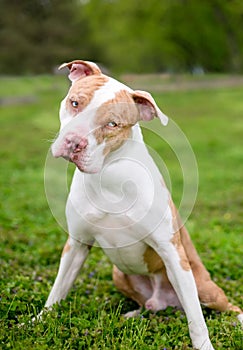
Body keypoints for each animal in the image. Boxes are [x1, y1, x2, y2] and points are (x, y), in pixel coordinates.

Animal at [42, 58, 242, 348]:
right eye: (75, 103)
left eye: (113, 124)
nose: (73, 142)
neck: (108, 176)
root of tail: (167, 303)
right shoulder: (77, 245)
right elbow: (56, 292)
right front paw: (35, 323)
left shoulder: (171, 252)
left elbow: (196, 320)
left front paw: (204, 345)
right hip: (119, 274)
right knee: (149, 305)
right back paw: (134, 313)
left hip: (202, 285)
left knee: (222, 306)